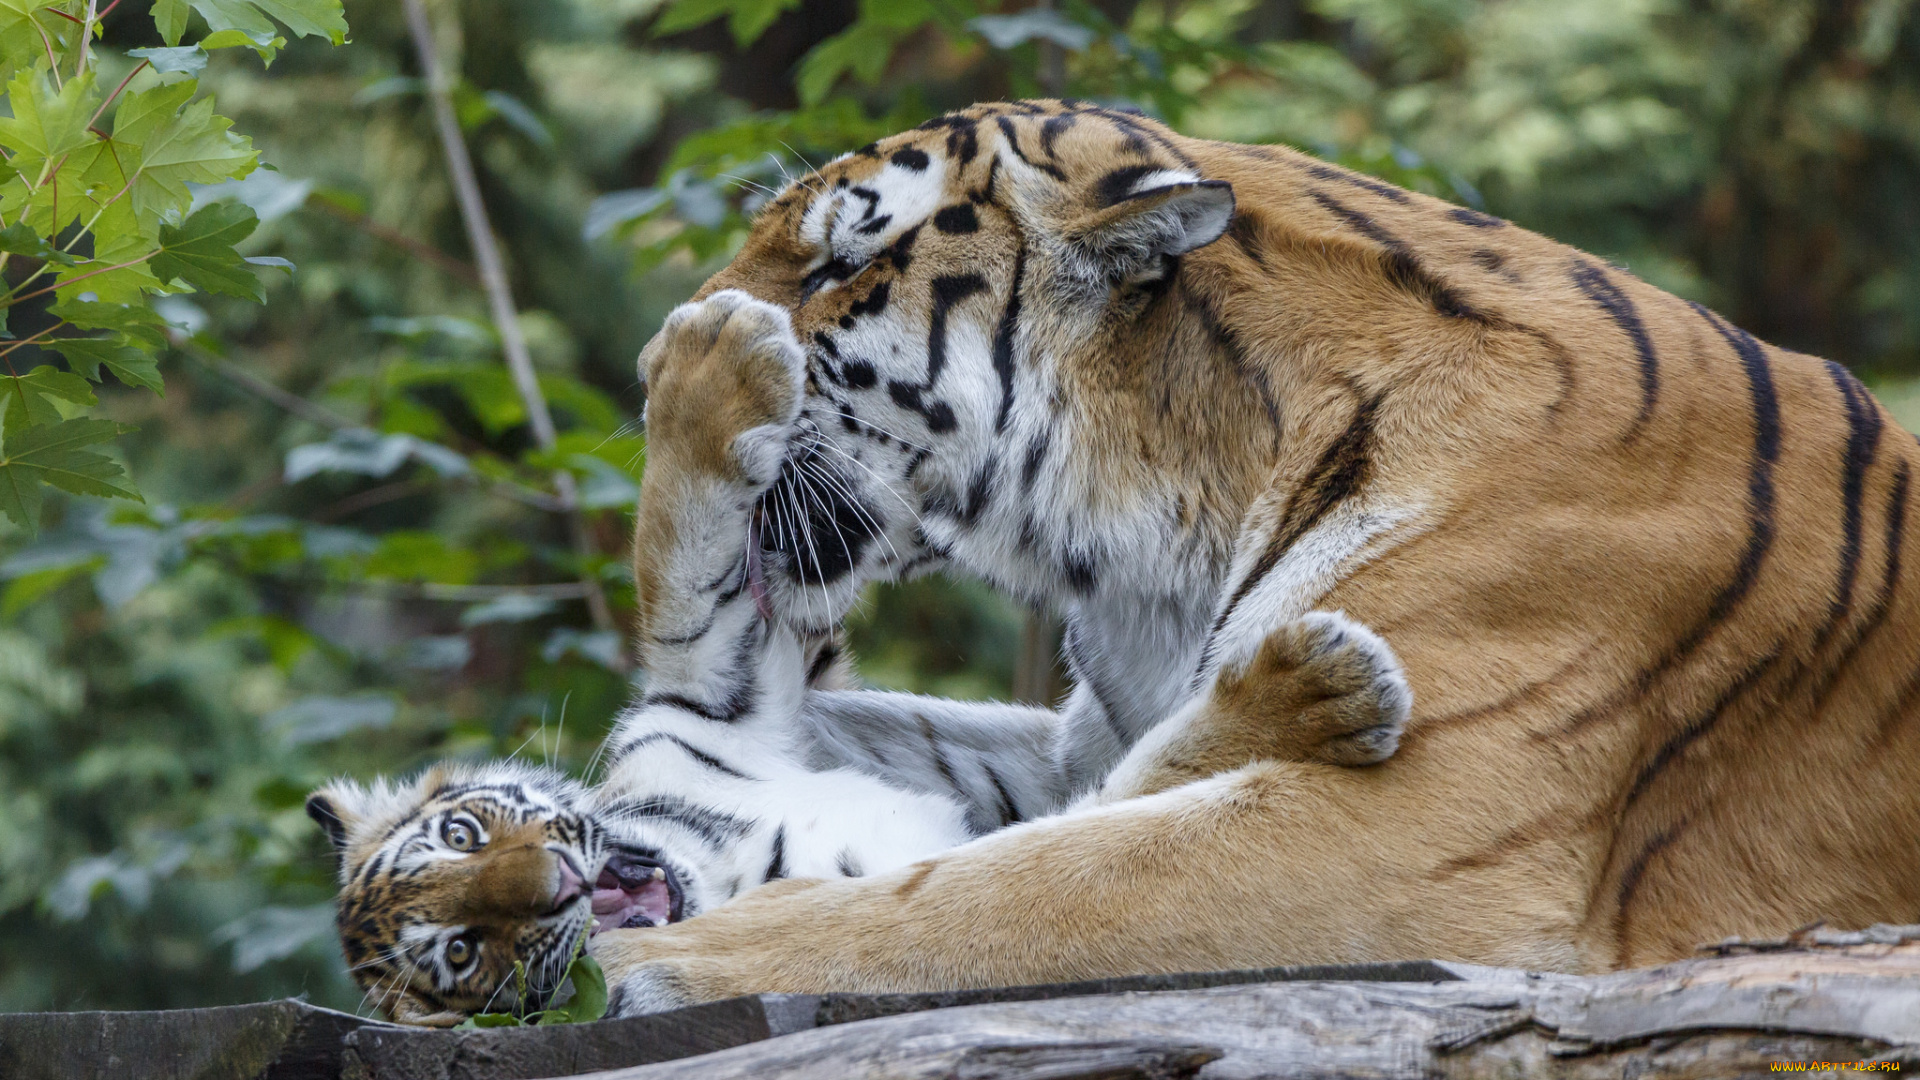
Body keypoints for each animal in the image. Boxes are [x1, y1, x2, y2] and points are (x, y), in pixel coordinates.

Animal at [591, 96, 1920, 1014]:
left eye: (839, 264)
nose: (648, 363)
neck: (1163, 539)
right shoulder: (1090, 735)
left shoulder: (1408, 821)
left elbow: (1019, 891)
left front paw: (680, 955)